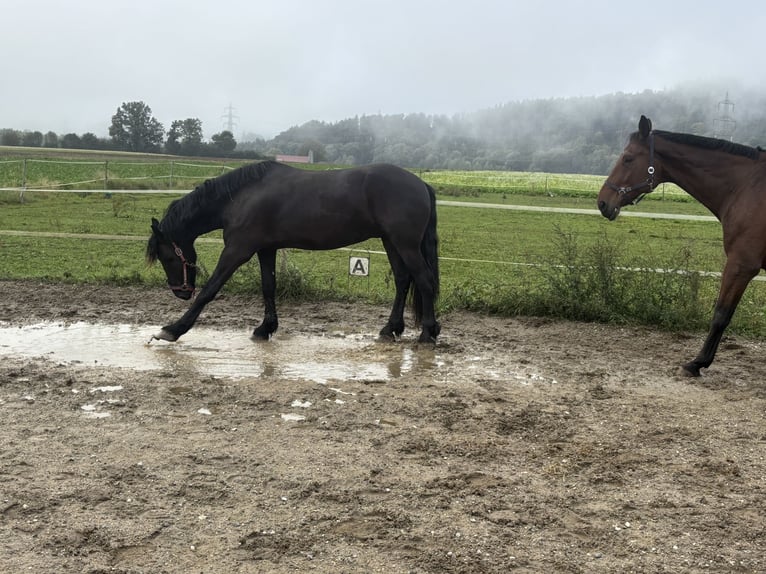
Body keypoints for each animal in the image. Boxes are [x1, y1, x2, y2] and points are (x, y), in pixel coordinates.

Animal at [146, 160, 440, 344]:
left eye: (168, 256)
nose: (181, 292)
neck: (242, 197)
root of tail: (421, 184)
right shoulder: (266, 249)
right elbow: (268, 286)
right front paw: (265, 328)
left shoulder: (237, 251)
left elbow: (210, 290)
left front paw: (172, 330)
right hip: (391, 242)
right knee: (403, 280)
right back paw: (391, 329)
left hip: (405, 244)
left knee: (424, 280)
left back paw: (428, 333)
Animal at [597, 115, 766, 376]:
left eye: (628, 158)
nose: (602, 202)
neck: (747, 187)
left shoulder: (741, 265)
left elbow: (721, 315)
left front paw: (698, 363)